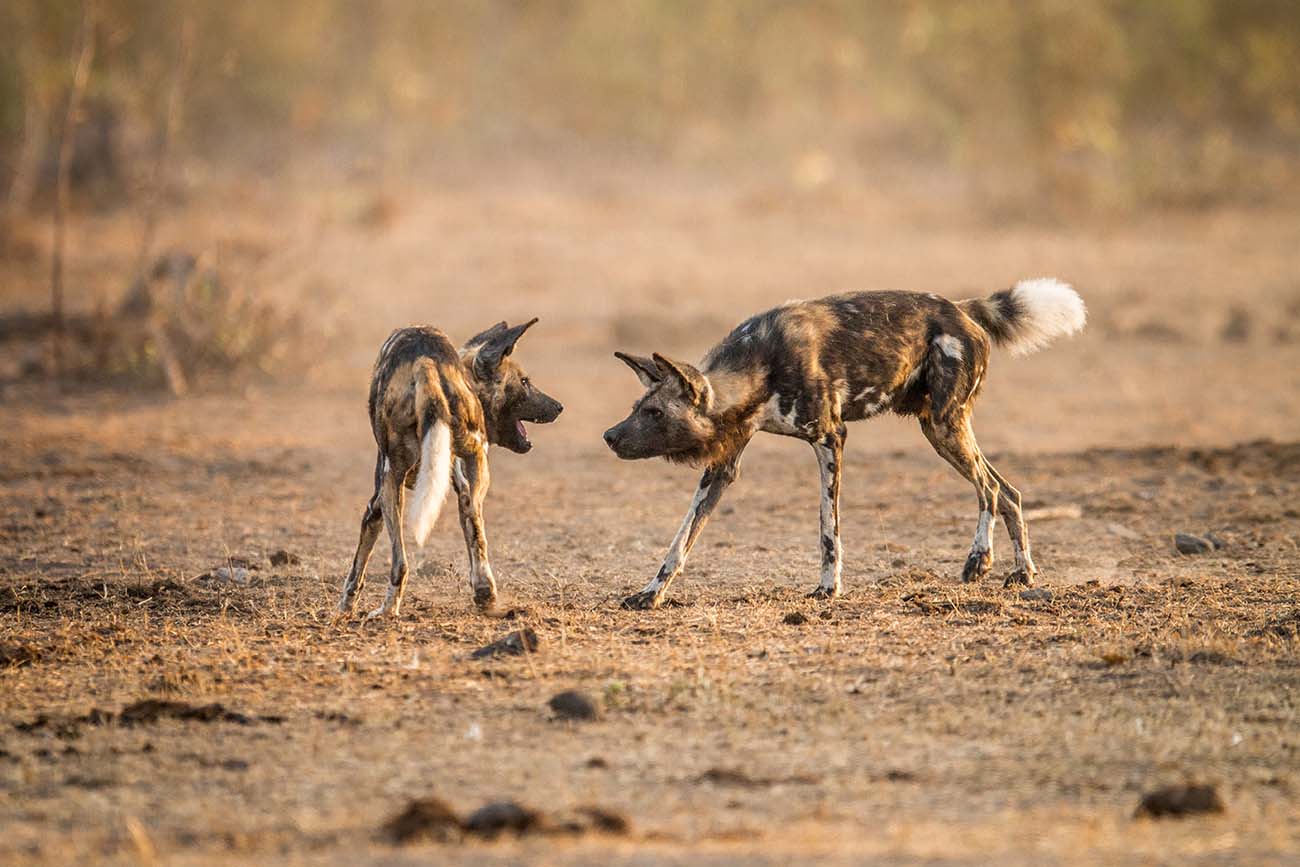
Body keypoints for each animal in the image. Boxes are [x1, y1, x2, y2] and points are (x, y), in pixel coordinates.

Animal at [332, 317, 561, 616]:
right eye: (524, 382)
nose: (559, 406)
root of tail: (426, 361)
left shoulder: (376, 503)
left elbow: (357, 565)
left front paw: (345, 606)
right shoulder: (462, 482)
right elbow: (473, 533)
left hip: (392, 480)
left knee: (400, 563)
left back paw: (387, 610)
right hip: (476, 468)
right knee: (478, 533)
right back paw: (485, 594)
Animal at [605, 278, 1086, 610]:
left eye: (655, 414)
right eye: (636, 407)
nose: (609, 436)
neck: (757, 371)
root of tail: (963, 308)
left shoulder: (830, 439)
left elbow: (828, 529)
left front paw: (828, 587)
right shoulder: (721, 468)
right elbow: (680, 541)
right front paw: (651, 592)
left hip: (944, 426)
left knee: (987, 488)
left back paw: (978, 560)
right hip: (941, 429)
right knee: (1009, 491)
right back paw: (1022, 573)